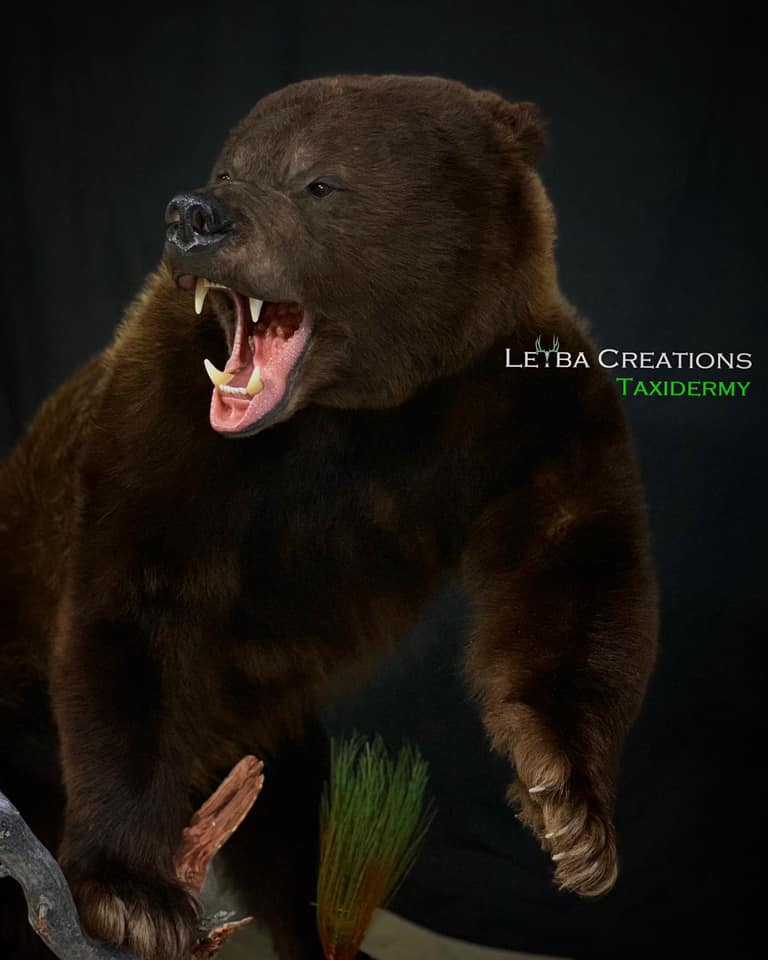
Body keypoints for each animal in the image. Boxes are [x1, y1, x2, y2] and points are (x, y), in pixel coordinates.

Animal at [0, 74, 658, 960]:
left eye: (318, 182)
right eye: (230, 163)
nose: (193, 216)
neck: (353, 410)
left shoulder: (519, 404)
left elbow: (574, 563)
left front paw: (570, 812)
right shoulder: (168, 426)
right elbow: (136, 613)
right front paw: (132, 894)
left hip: (266, 732)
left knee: (292, 824)